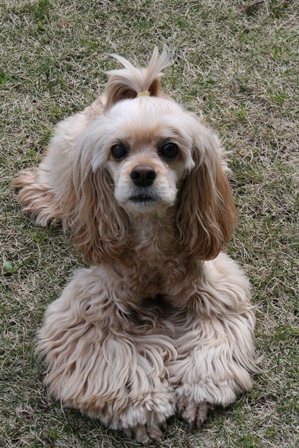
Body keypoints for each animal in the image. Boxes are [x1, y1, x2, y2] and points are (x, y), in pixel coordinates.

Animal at [14, 50, 256, 444]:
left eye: (170, 149)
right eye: (118, 150)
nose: (142, 173)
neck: (151, 238)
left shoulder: (216, 295)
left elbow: (212, 343)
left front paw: (199, 394)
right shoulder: (86, 313)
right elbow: (115, 362)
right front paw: (141, 412)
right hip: (67, 155)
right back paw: (43, 198)